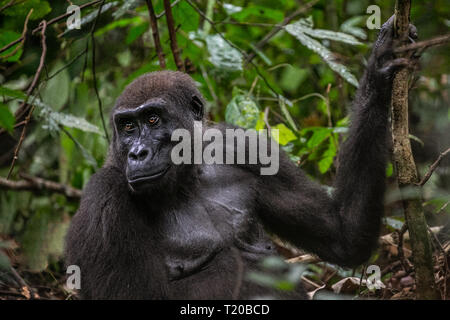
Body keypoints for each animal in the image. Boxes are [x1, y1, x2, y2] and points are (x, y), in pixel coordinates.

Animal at [65, 16, 416, 298]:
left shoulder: (245, 147)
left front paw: (381, 69)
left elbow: (343, 235)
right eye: (127, 126)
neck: (189, 175)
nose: (138, 153)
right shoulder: (104, 196)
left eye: (152, 119)